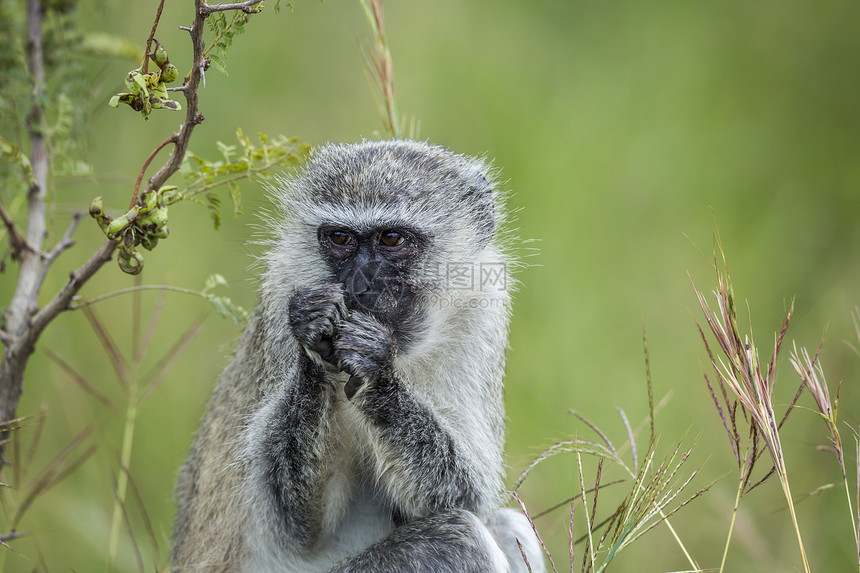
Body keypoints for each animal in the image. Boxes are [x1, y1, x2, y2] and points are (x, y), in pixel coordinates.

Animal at [170, 140, 540, 572]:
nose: (359, 283)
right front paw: (315, 334)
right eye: (340, 238)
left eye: (392, 238)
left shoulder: (484, 306)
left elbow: (467, 493)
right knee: (459, 537)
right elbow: (299, 525)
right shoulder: (282, 293)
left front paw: (374, 368)